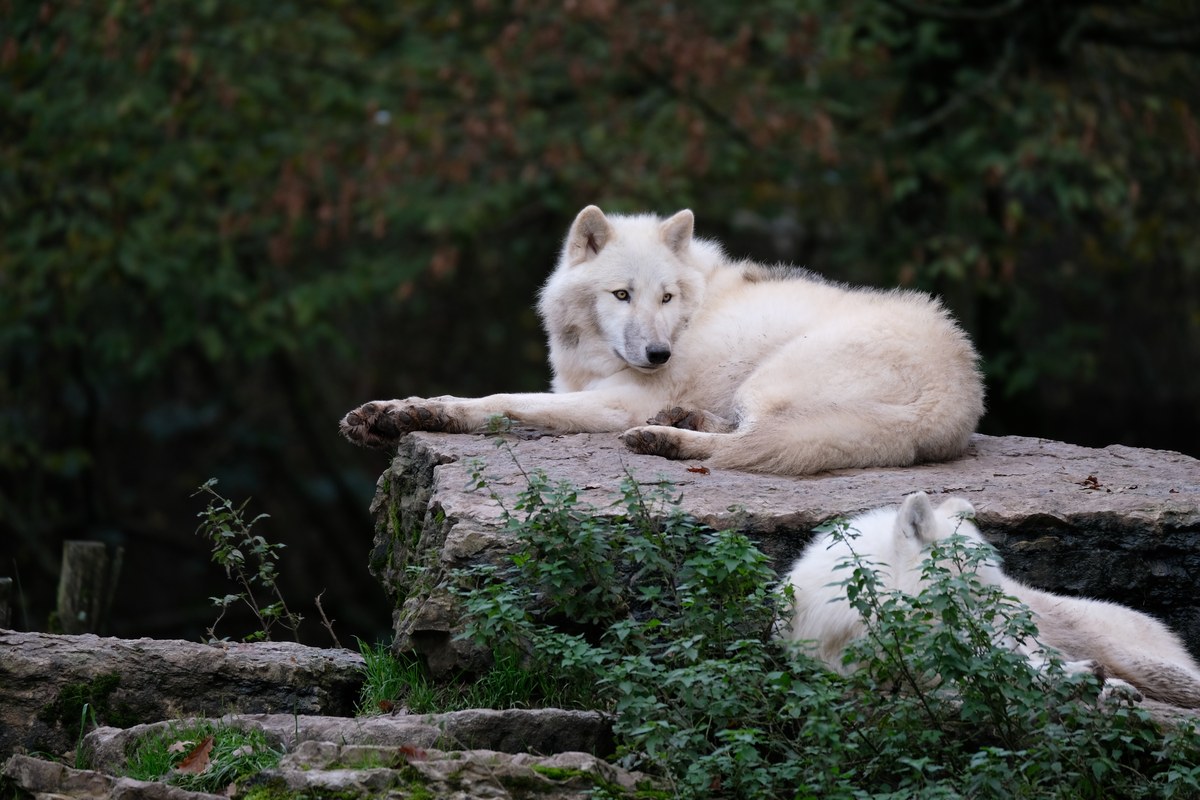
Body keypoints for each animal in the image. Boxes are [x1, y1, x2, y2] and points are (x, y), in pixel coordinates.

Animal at [340, 205, 985, 475]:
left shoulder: (618, 401)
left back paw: (665, 440)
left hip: (772, 378)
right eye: (623, 295)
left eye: (667, 297)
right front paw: (385, 415)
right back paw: (683, 421)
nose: (659, 356)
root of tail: (959, 397)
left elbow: (497, 403)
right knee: (748, 433)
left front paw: (422, 411)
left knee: (749, 444)